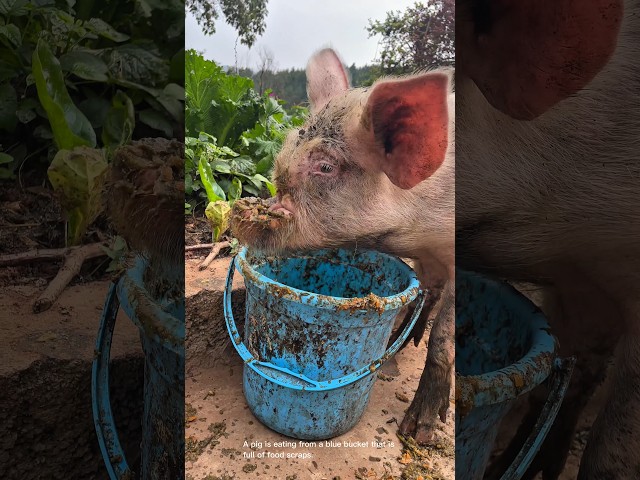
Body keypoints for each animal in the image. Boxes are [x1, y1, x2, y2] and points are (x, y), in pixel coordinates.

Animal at [232, 49, 458, 446]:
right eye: (288, 146)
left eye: (325, 166)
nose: (246, 211)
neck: (415, 231)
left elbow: (445, 335)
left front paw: (419, 433)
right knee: (429, 290)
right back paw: (401, 341)